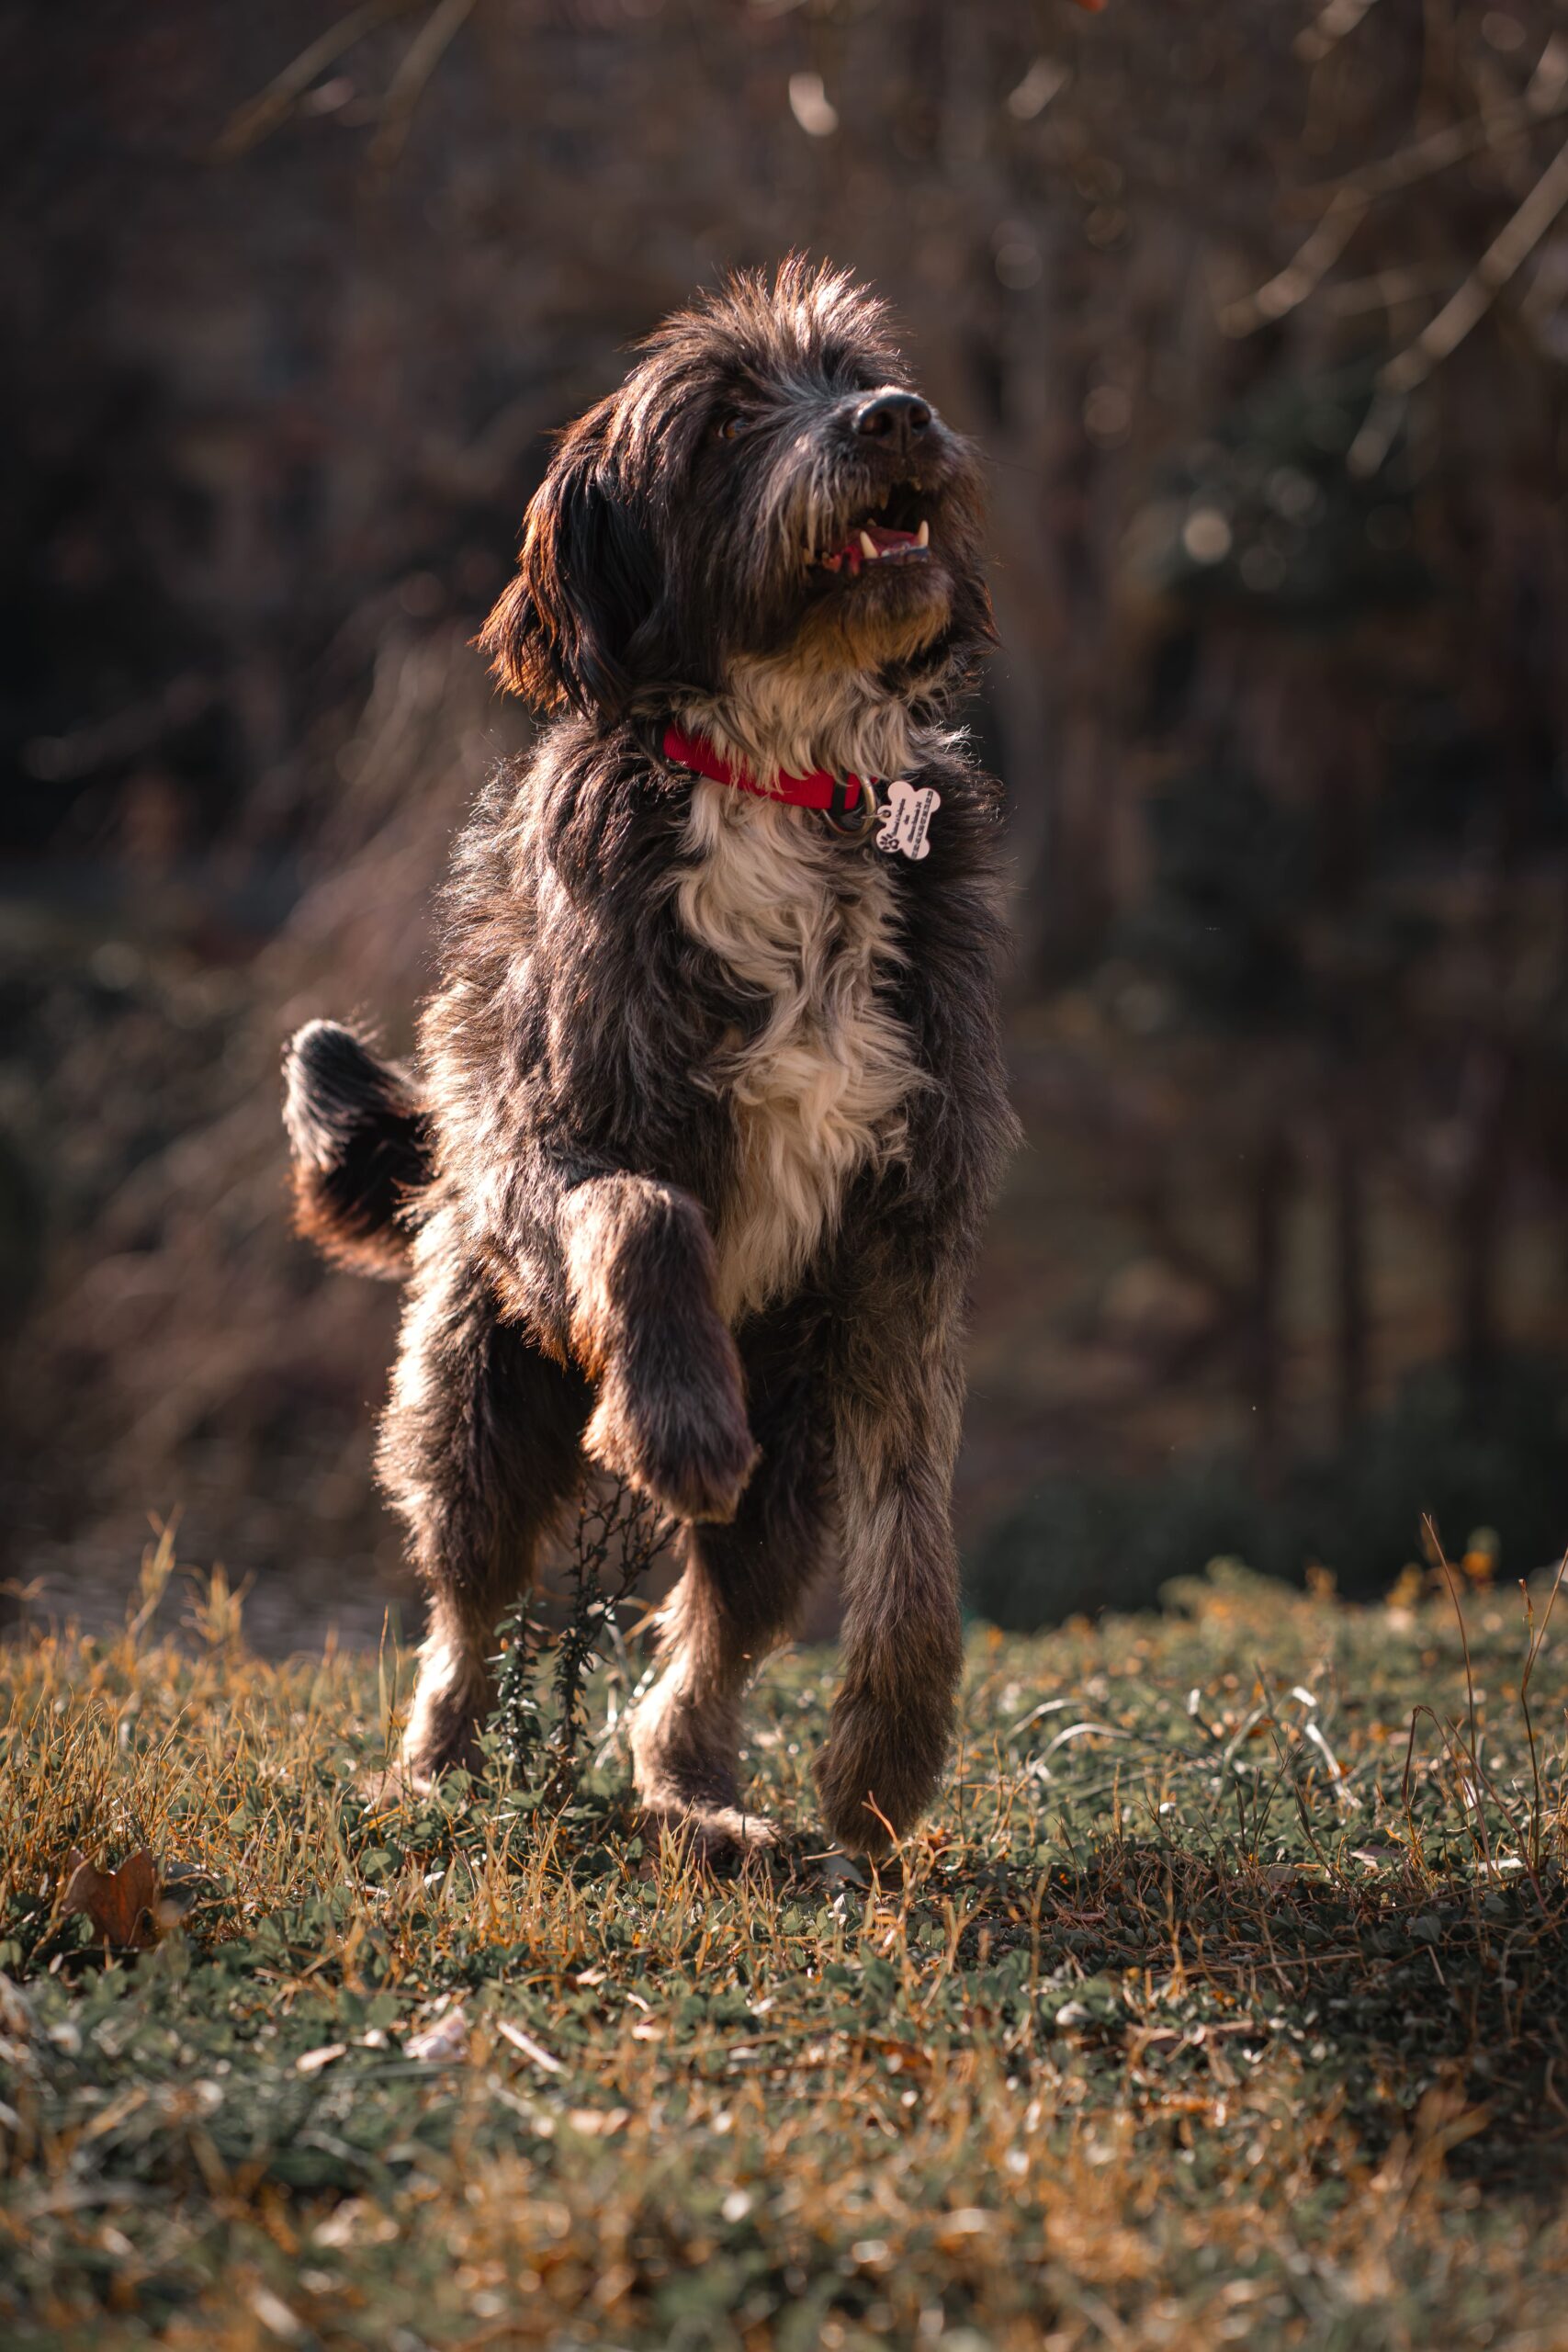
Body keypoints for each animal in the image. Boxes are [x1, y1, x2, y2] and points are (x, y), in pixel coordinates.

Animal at [282, 266, 1020, 1853]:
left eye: (854, 371)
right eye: (727, 420)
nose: (896, 418)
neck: (786, 775)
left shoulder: (910, 1224)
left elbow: (917, 1500)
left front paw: (889, 1745)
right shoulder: (539, 1152)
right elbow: (644, 1209)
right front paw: (673, 1414)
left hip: (787, 1439)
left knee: (716, 1629)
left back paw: (697, 1797)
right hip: (476, 1381)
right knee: (468, 1602)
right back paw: (432, 1770)